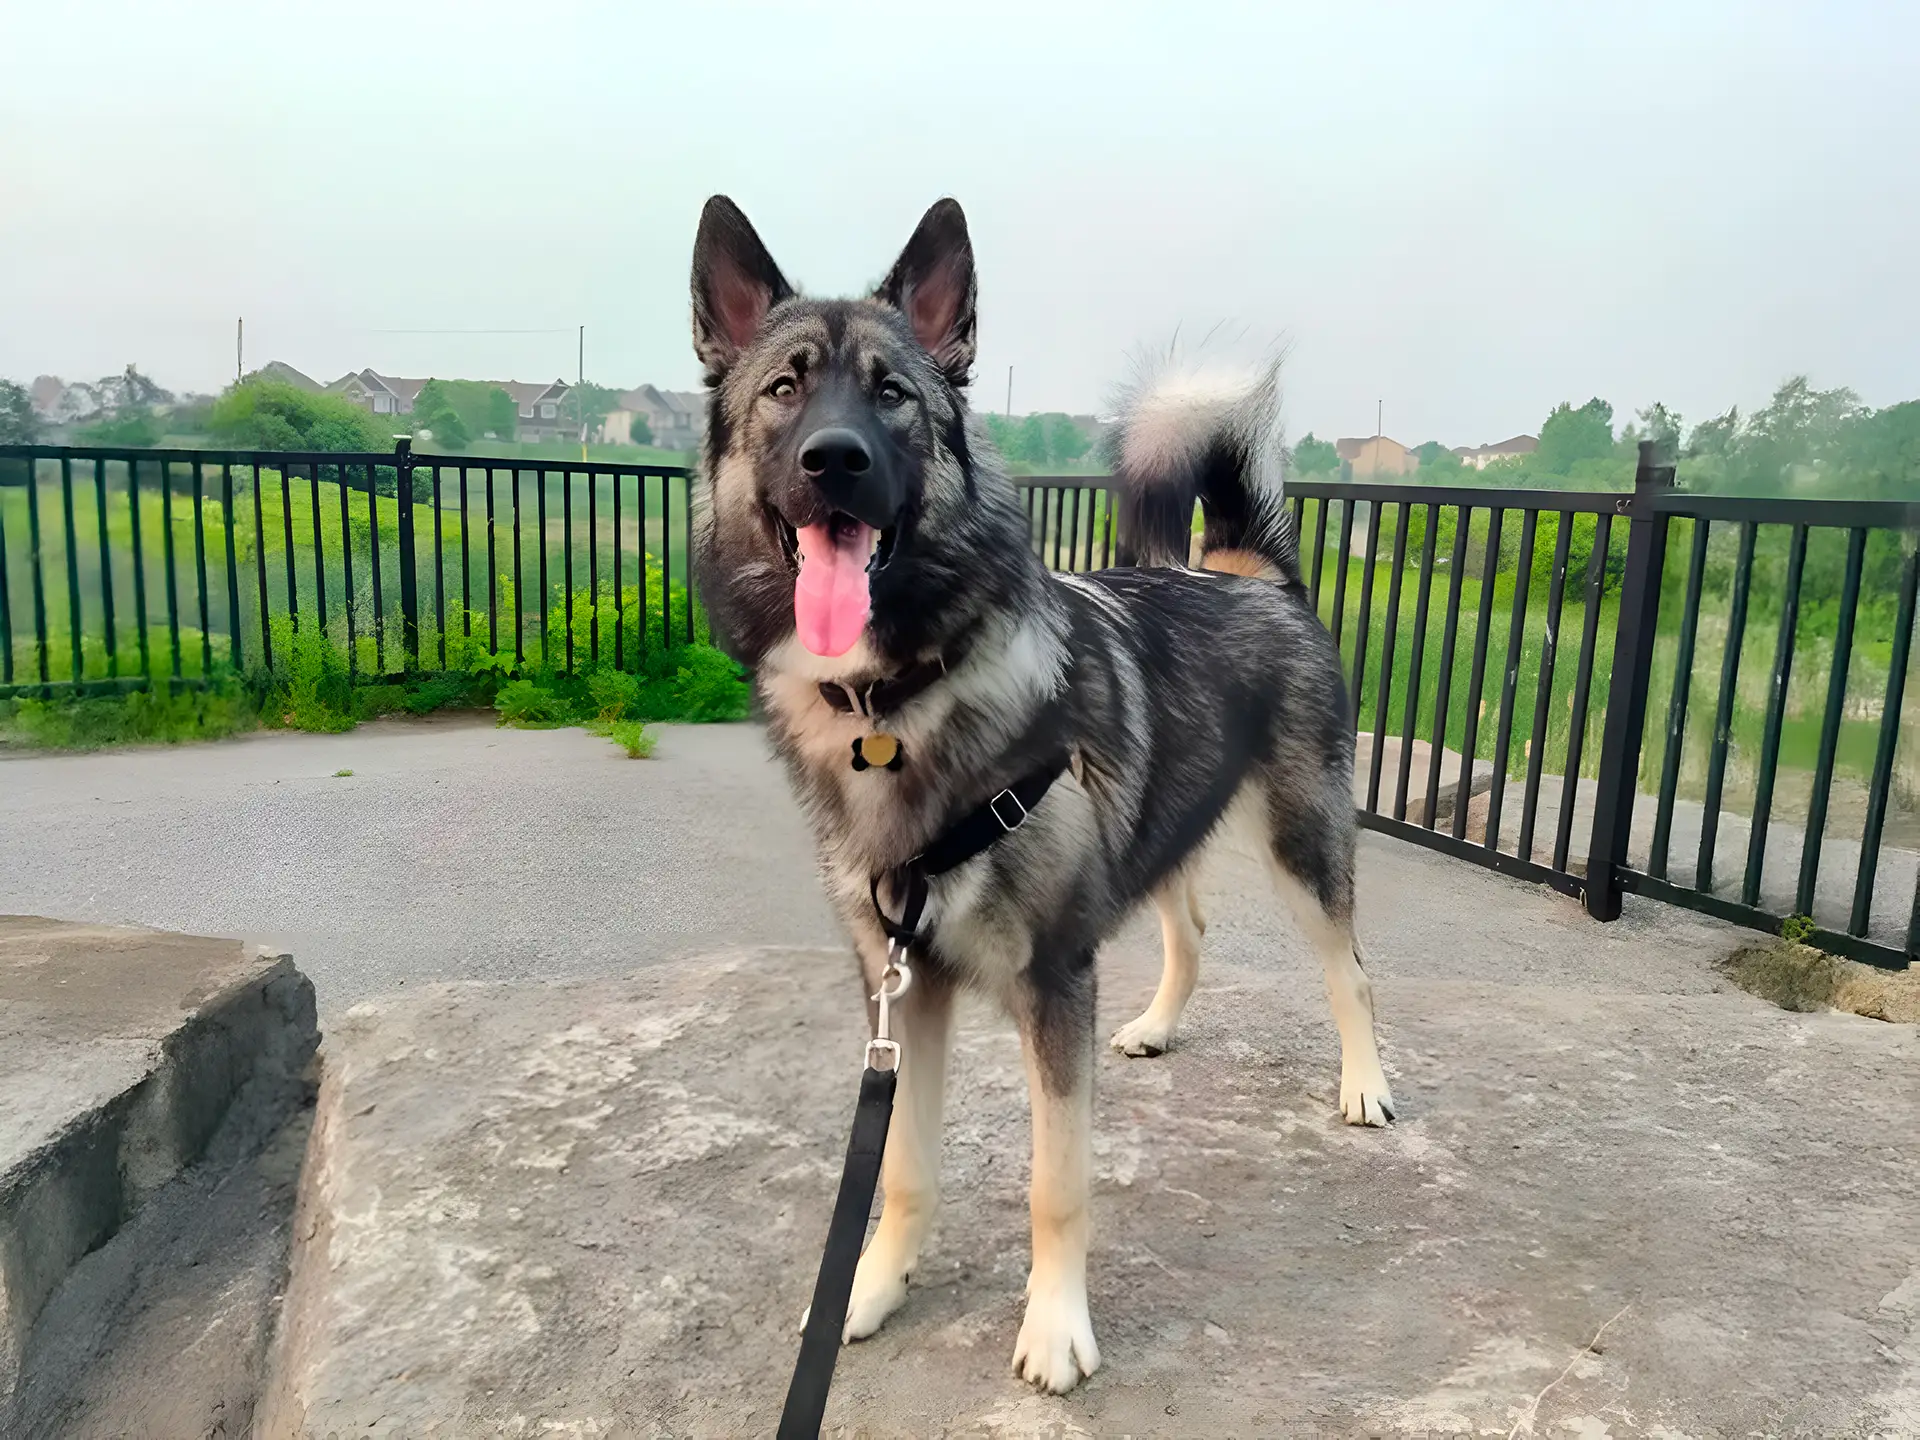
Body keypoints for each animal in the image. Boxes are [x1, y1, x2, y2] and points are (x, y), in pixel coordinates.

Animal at [691, 197, 1397, 1390]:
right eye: (784, 388)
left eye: (893, 393)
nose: (835, 461)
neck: (897, 704)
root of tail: (1247, 572)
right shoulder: (903, 991)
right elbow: (902, 1166)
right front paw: (870, 1288)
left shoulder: (1054, 981)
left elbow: (1055, 1184)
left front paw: (1057, 1326)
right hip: (1163, 825)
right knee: (1190, 929)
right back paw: (1157, 1025)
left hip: (1302, 837)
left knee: (1347, 965)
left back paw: (1364, 1085)